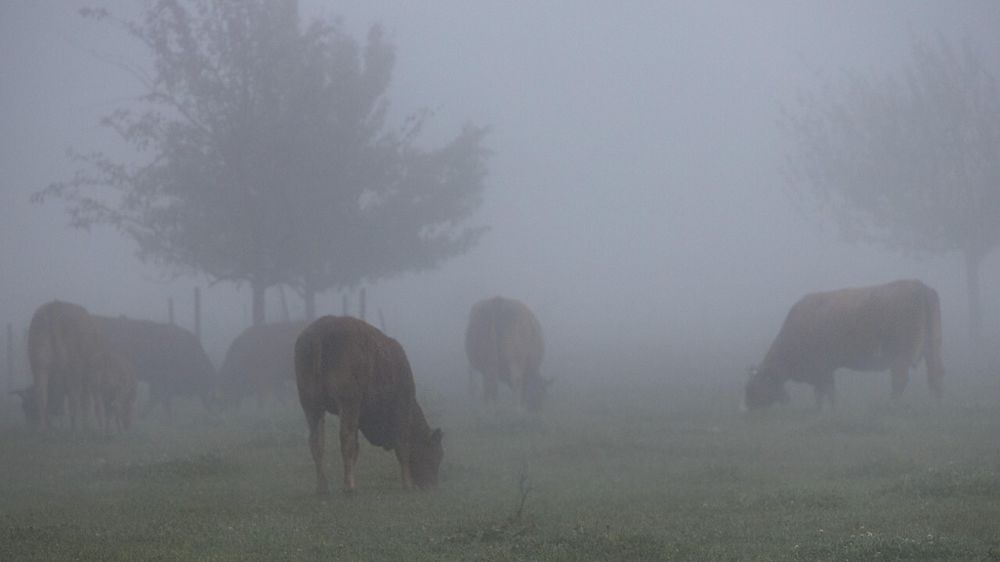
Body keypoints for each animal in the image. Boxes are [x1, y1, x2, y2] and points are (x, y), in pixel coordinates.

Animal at [28, 300, 110, 430]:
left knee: (41, 394)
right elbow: (87, 402)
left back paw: (44, 428)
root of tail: (54, 307)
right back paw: (75, 427)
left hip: (39, 363)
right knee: (74, 398)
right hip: (72, 368)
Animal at [294, 316, 443, 495]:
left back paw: (323, 487)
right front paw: (407, 484)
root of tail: (320, 333)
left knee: (316, 441)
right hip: (347, 402)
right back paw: (348, 488)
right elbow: (402, 446)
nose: (433, 486)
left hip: (311, 404)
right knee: (346, 439)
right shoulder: (400, 409)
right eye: (437, 454)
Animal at [744, 279, 944, 410]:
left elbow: (824, 390)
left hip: (900, 355)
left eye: (751, 386)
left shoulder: (821, 367)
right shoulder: (825, 369)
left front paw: (827, 410)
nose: (743, 409)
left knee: (900, 380)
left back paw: (892, 405)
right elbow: (825, 391)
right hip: (932, 347)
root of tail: (919, 286)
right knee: (935, 376)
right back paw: (935, 405)